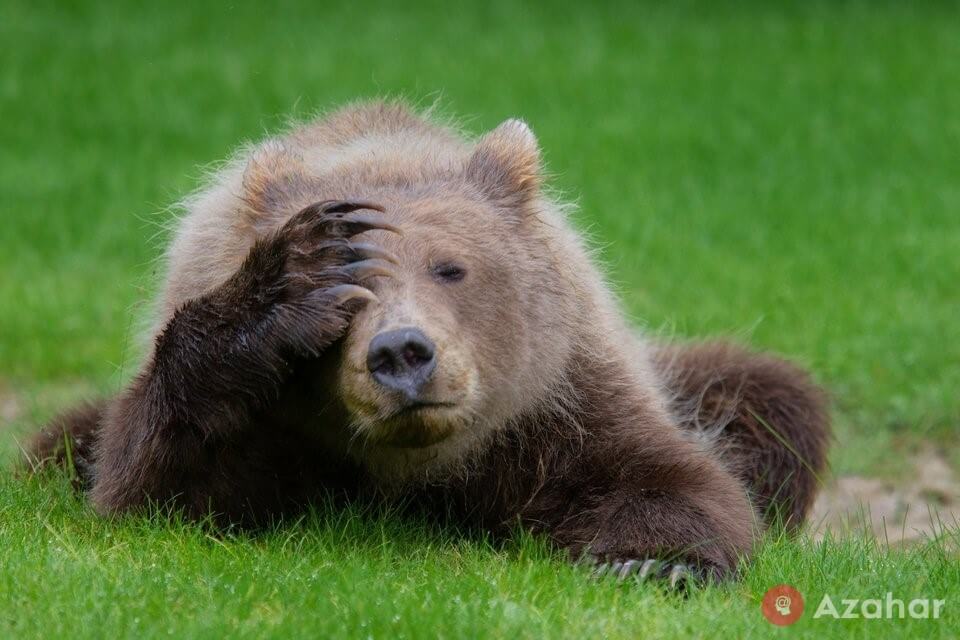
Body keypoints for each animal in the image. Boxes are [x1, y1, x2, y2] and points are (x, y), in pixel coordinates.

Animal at [26, 102, 828, 588]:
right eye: (351, 291)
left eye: (450, 267)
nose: (401, 353)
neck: (414, 467)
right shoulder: (271, 426)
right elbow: (158, 485)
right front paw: (286, 282)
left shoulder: (556, 401)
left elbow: (663, 478)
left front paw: (653, 564)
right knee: (55, 446)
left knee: (770, 399)